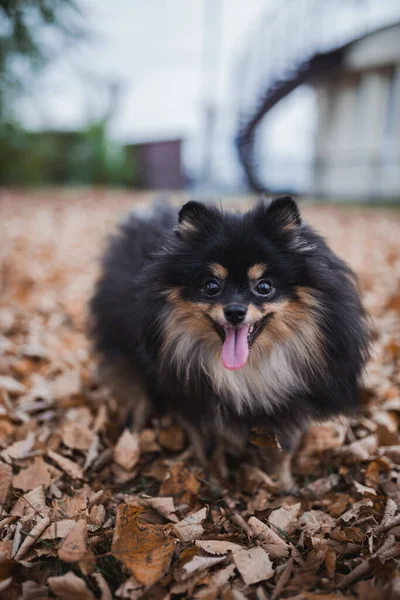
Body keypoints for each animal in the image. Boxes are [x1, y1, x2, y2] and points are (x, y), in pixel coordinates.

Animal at [90, 197, 368, 488]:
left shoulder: (292, 401)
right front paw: (216, 481)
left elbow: (284, 450)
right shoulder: (195, 398)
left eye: (264, 286)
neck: (249, 370)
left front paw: (284, 486)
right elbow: (211, 444)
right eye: (211, 286)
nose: (235, 311)